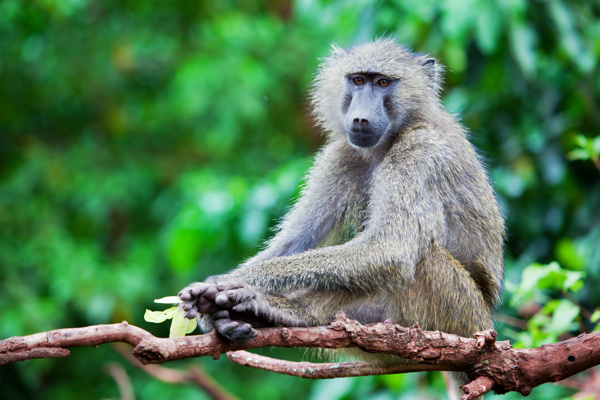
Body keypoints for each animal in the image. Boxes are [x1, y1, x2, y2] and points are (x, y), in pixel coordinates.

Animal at [179, 39, 506, 396]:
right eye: (358, 80)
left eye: (383, 82)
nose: (360, 118)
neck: (395, 135)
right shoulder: (341, 155)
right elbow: (293, 244)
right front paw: (213, 298)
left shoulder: (421, 152)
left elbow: (390, 250)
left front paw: (230, 283)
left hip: (461, 319)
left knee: (421, 259)